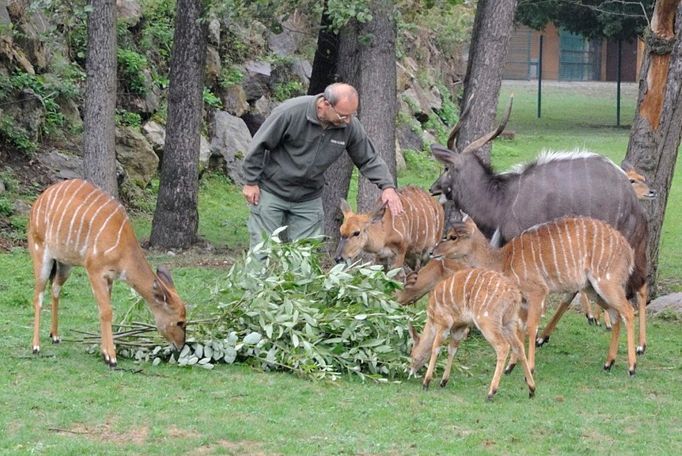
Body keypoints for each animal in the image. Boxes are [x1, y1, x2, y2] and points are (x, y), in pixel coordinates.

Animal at [28, 179, 186, 366]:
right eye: (180, 322)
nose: (181, 345)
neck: (123, 249)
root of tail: (39, 200)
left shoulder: (109, 277)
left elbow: (104, 309)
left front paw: (105, 352)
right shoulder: (94, 270)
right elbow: (106, 311)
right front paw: (111, 357)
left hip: (64, 263)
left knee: (55, 288)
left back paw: (55, 336)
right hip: (40, 254)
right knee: (38, 296)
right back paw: (36, 347)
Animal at [432, 216, 636, 376]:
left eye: (453, 236)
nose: (433, 252)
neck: (503, 260)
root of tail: (628, 250)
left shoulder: (537, 292)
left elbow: (531, 327)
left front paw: (529, 367)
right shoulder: (522, 300)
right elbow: (520, 329)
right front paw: (511, 366)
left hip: (607, 283)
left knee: (628, 311)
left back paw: (632, 367)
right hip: (592, 289)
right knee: (615, 315)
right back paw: (608, 363)